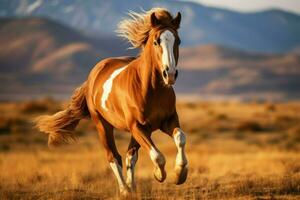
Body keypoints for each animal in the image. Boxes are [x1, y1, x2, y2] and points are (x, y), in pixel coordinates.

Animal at [35, 7, 188, 195]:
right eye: (156, 41)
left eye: (178, 41)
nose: (170, 74)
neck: (152, 89)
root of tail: (94, 74)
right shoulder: (137, 127)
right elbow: (158, 156)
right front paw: (159, 175)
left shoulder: (167, 121)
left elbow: (180, 137)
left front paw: (180, 174)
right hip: (103, 125)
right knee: (114, 157)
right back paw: (125, 190)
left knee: (130, 155)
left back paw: (132, 187)